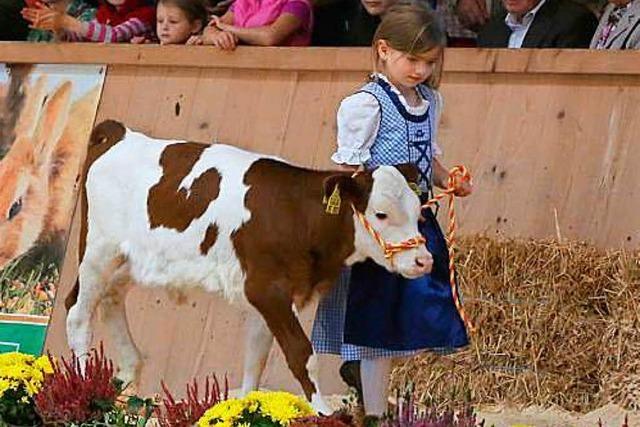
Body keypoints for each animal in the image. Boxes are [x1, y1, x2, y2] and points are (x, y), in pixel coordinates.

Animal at [65, 119, 432, 412]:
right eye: (380, 214)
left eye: (418, 211)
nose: (423, 260)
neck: (295, 213)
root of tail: (122, 134)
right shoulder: (265, 289)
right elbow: (302, 355)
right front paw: (323, 412)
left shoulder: (272, 297)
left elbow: (256, 358)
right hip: (98, 248)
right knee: (77, 311)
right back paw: (85, 387)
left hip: (129, 260)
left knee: (110, 299)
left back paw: (127, 378)